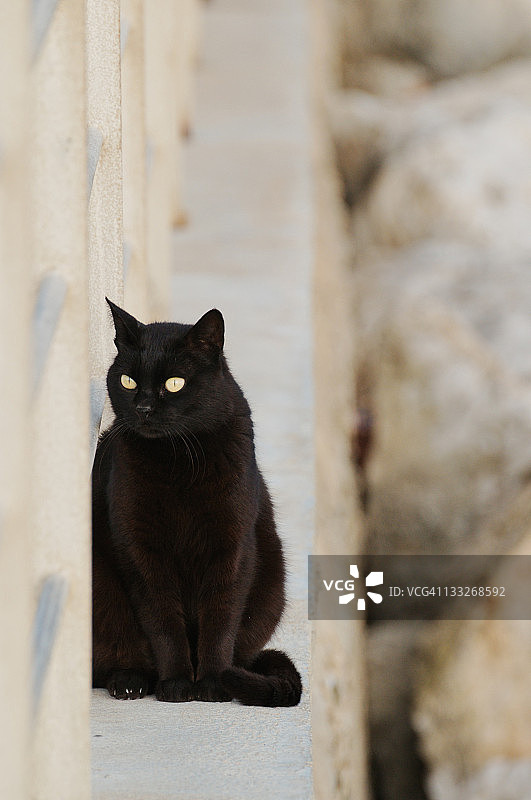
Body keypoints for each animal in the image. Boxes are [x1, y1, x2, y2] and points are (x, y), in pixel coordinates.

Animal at [92, 299, 302, 706]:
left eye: (175, 383)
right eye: (128, 381)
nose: (143, 408)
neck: (178, 461)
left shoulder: (231, 548)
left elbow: (219, 621)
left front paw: (213, 683)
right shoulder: (141, 552)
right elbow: (163, 622)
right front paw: (176, 683)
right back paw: (130, 681)